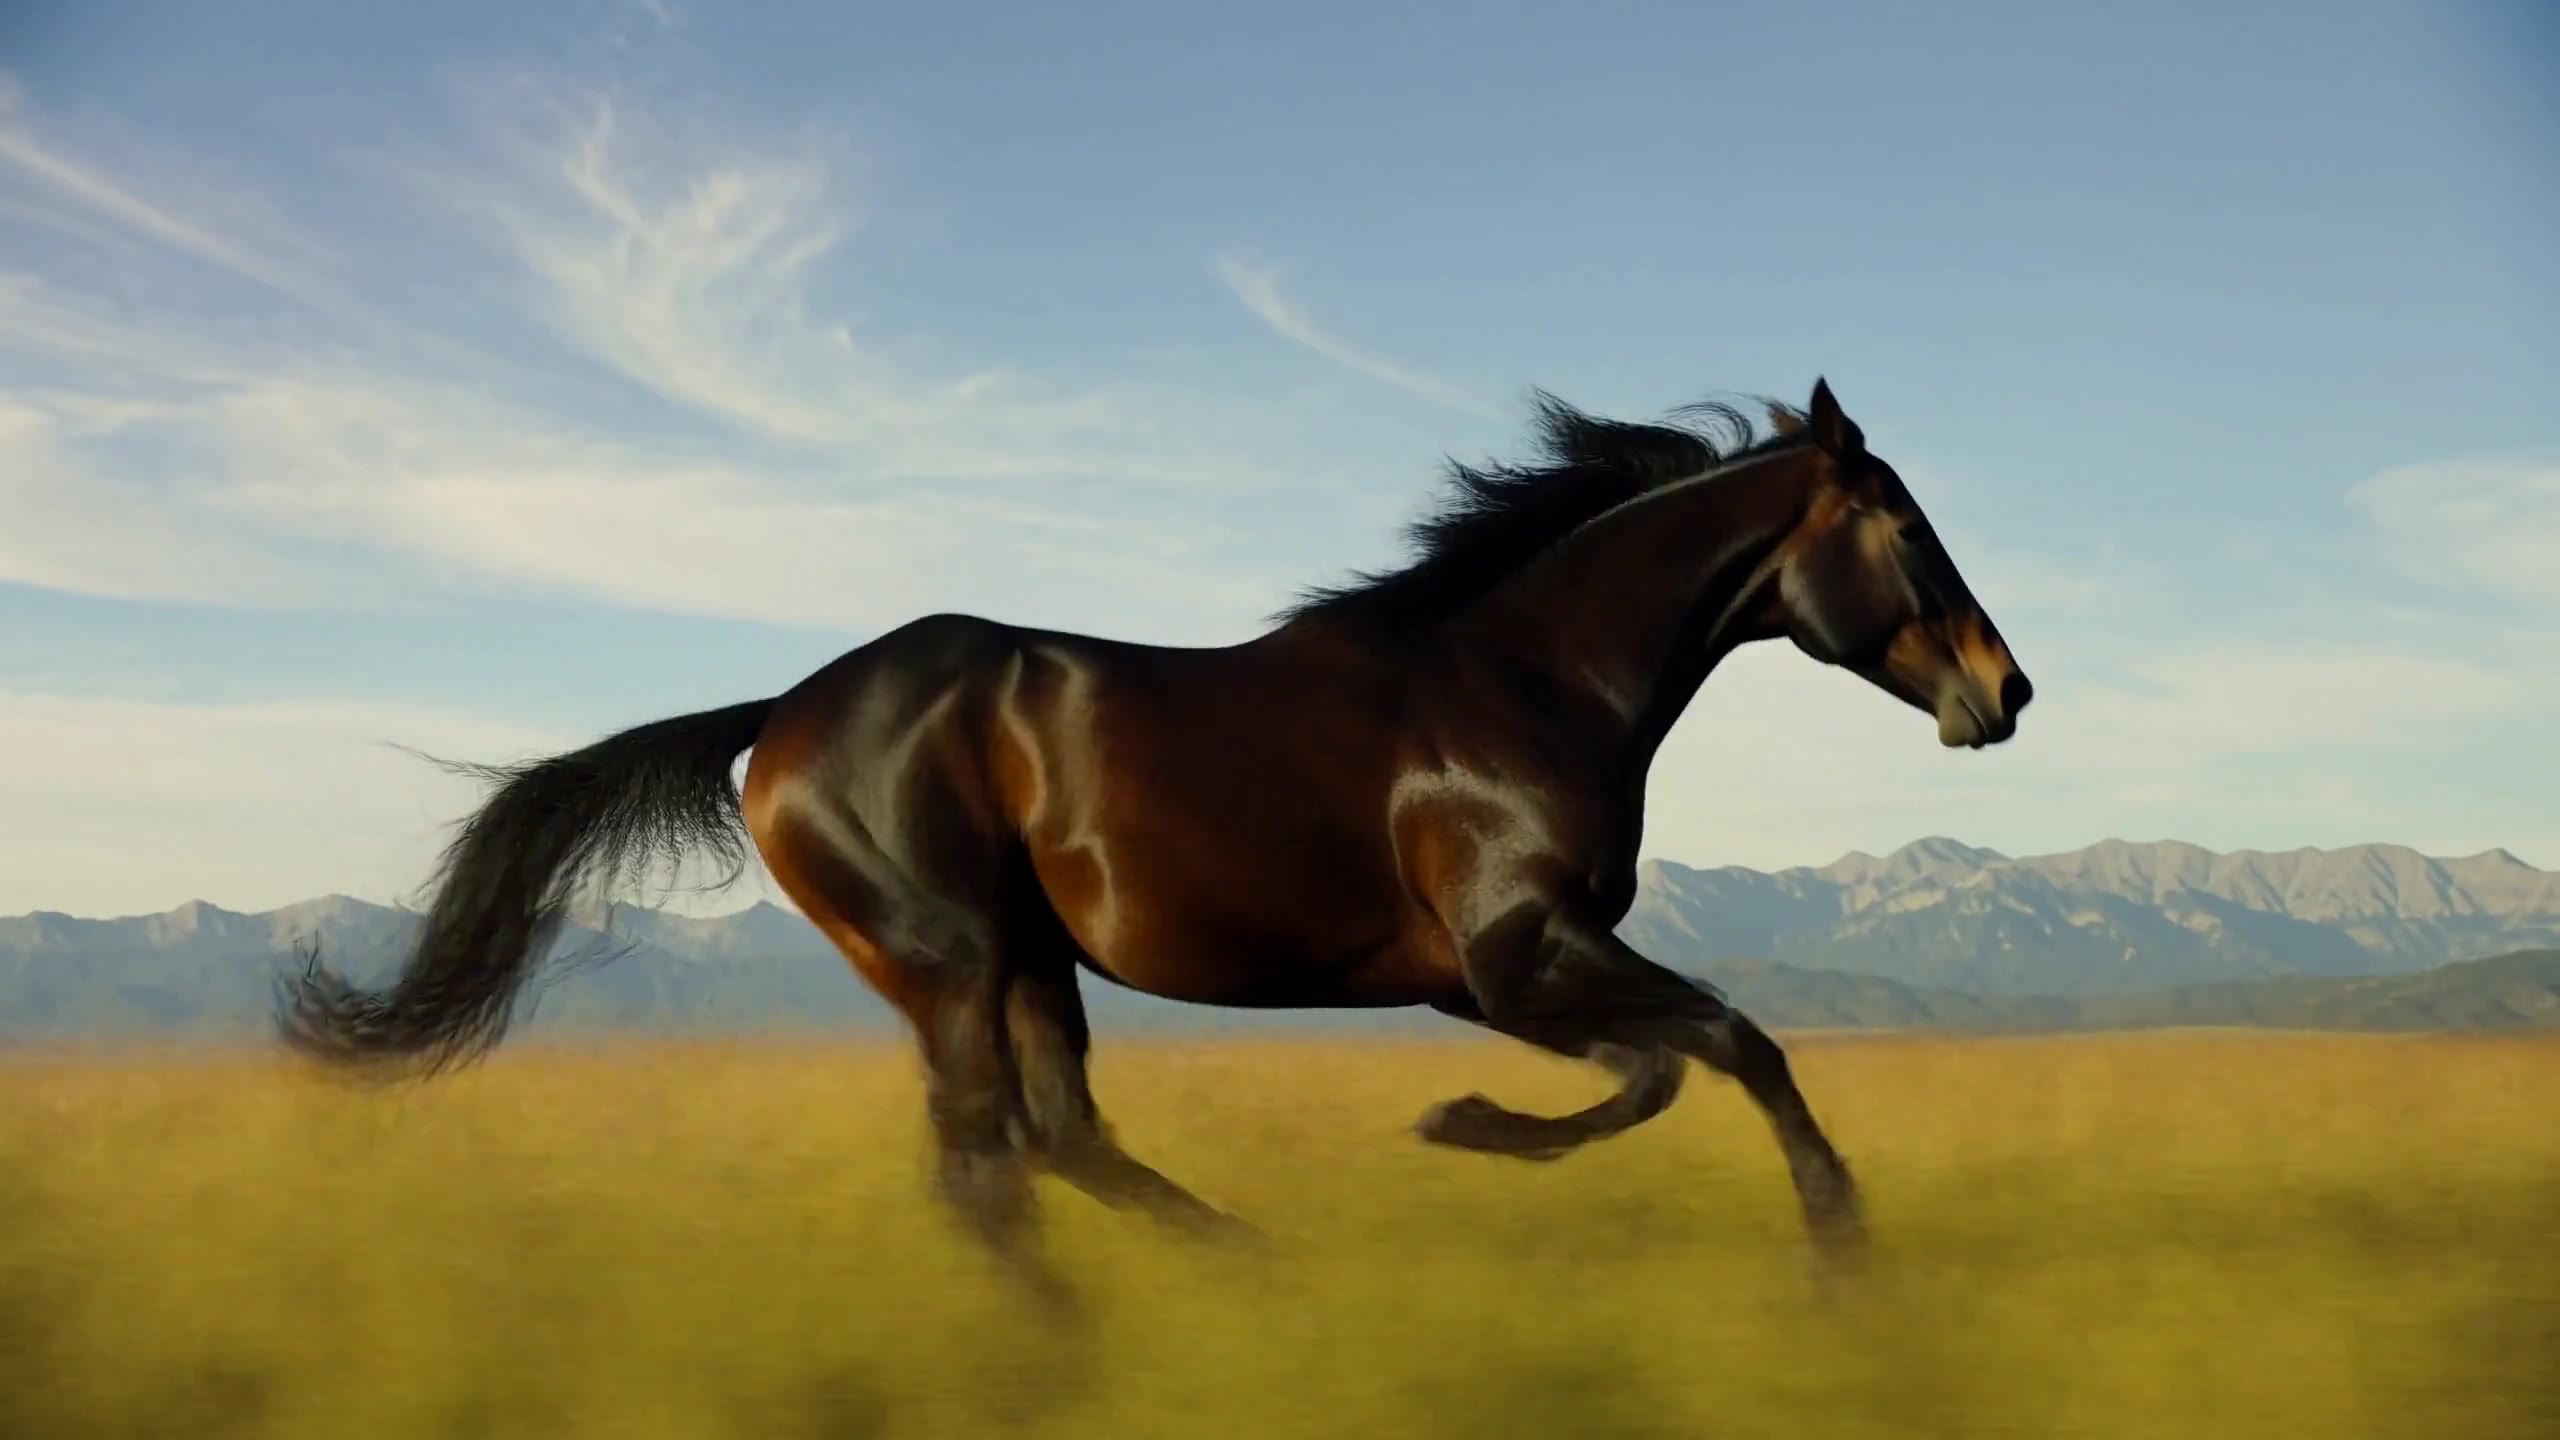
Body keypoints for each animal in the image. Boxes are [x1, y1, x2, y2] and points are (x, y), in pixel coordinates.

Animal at [280, 376, 2033, 1308]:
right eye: (1903, 526)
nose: (2004, 693)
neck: (1524, 679)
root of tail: (777, 717)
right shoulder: (1513, 953)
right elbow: (1718, 1048)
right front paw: (1836, 1249)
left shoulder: (1482, 974)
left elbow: (1668, 1061)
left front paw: (1469, 1130)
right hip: (950, 960)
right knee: (988, 1170)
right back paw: (1080, 1342)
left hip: (1030, 960)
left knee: (1056, 1144)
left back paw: (1252, 1271)